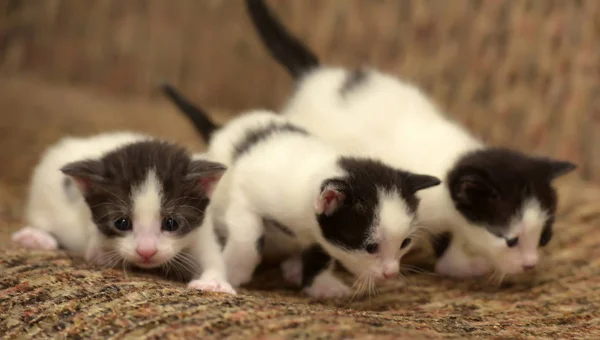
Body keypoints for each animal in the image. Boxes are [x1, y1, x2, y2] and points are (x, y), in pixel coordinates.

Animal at [12, 131, 237, 294]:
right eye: (122, 223)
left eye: (171, 223)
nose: (146, 251)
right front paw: (102, 252)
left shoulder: (201, 231)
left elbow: (213, 257)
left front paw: (213, 282)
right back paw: (35, 237)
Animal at [162, 86, 438, 298]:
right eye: (370, 247)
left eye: (405, 243)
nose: (391, 273)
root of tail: (221, 128)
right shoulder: (245, 197)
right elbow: (249, 238)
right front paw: (232, 272)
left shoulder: (318, 233)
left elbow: (321, 254)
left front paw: (320, 285)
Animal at [241, 0, 580, 278]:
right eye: (510, 240)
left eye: (545, 236)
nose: (530, 264)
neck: (451, 158)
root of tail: (317, 76)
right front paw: (464, 266)